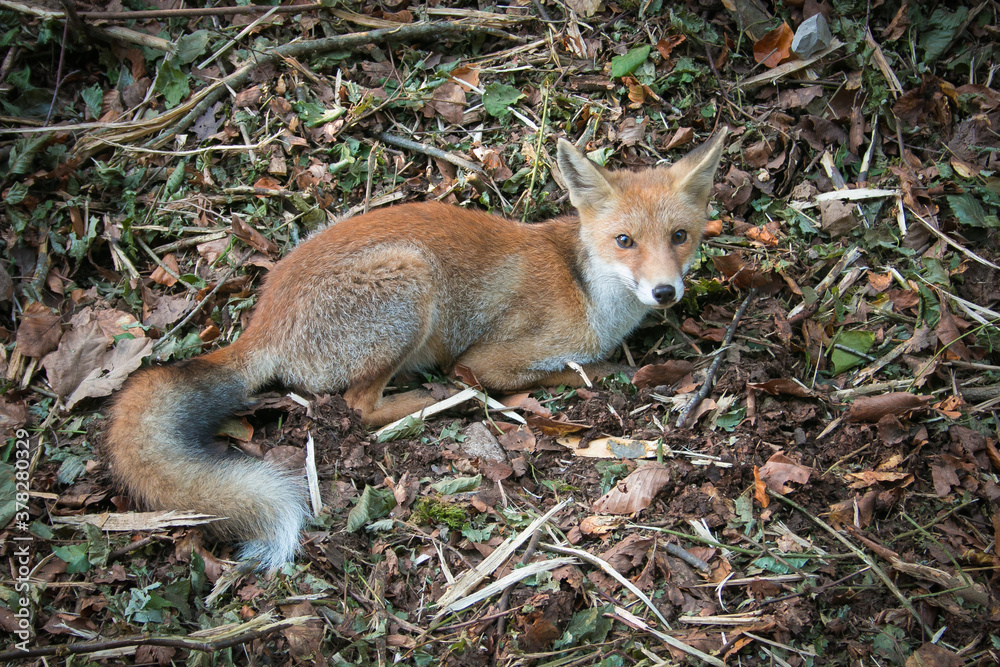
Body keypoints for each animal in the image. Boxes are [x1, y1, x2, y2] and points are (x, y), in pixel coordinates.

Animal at [103, 132, 727, 569]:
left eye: (680, 237)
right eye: (625, 241)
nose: (665, 292)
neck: (587, 287)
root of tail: (264, 320)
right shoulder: (489, 358)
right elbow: (566, 372)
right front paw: (609, 373)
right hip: (411, 279)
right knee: (360, 405)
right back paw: (435, 399)